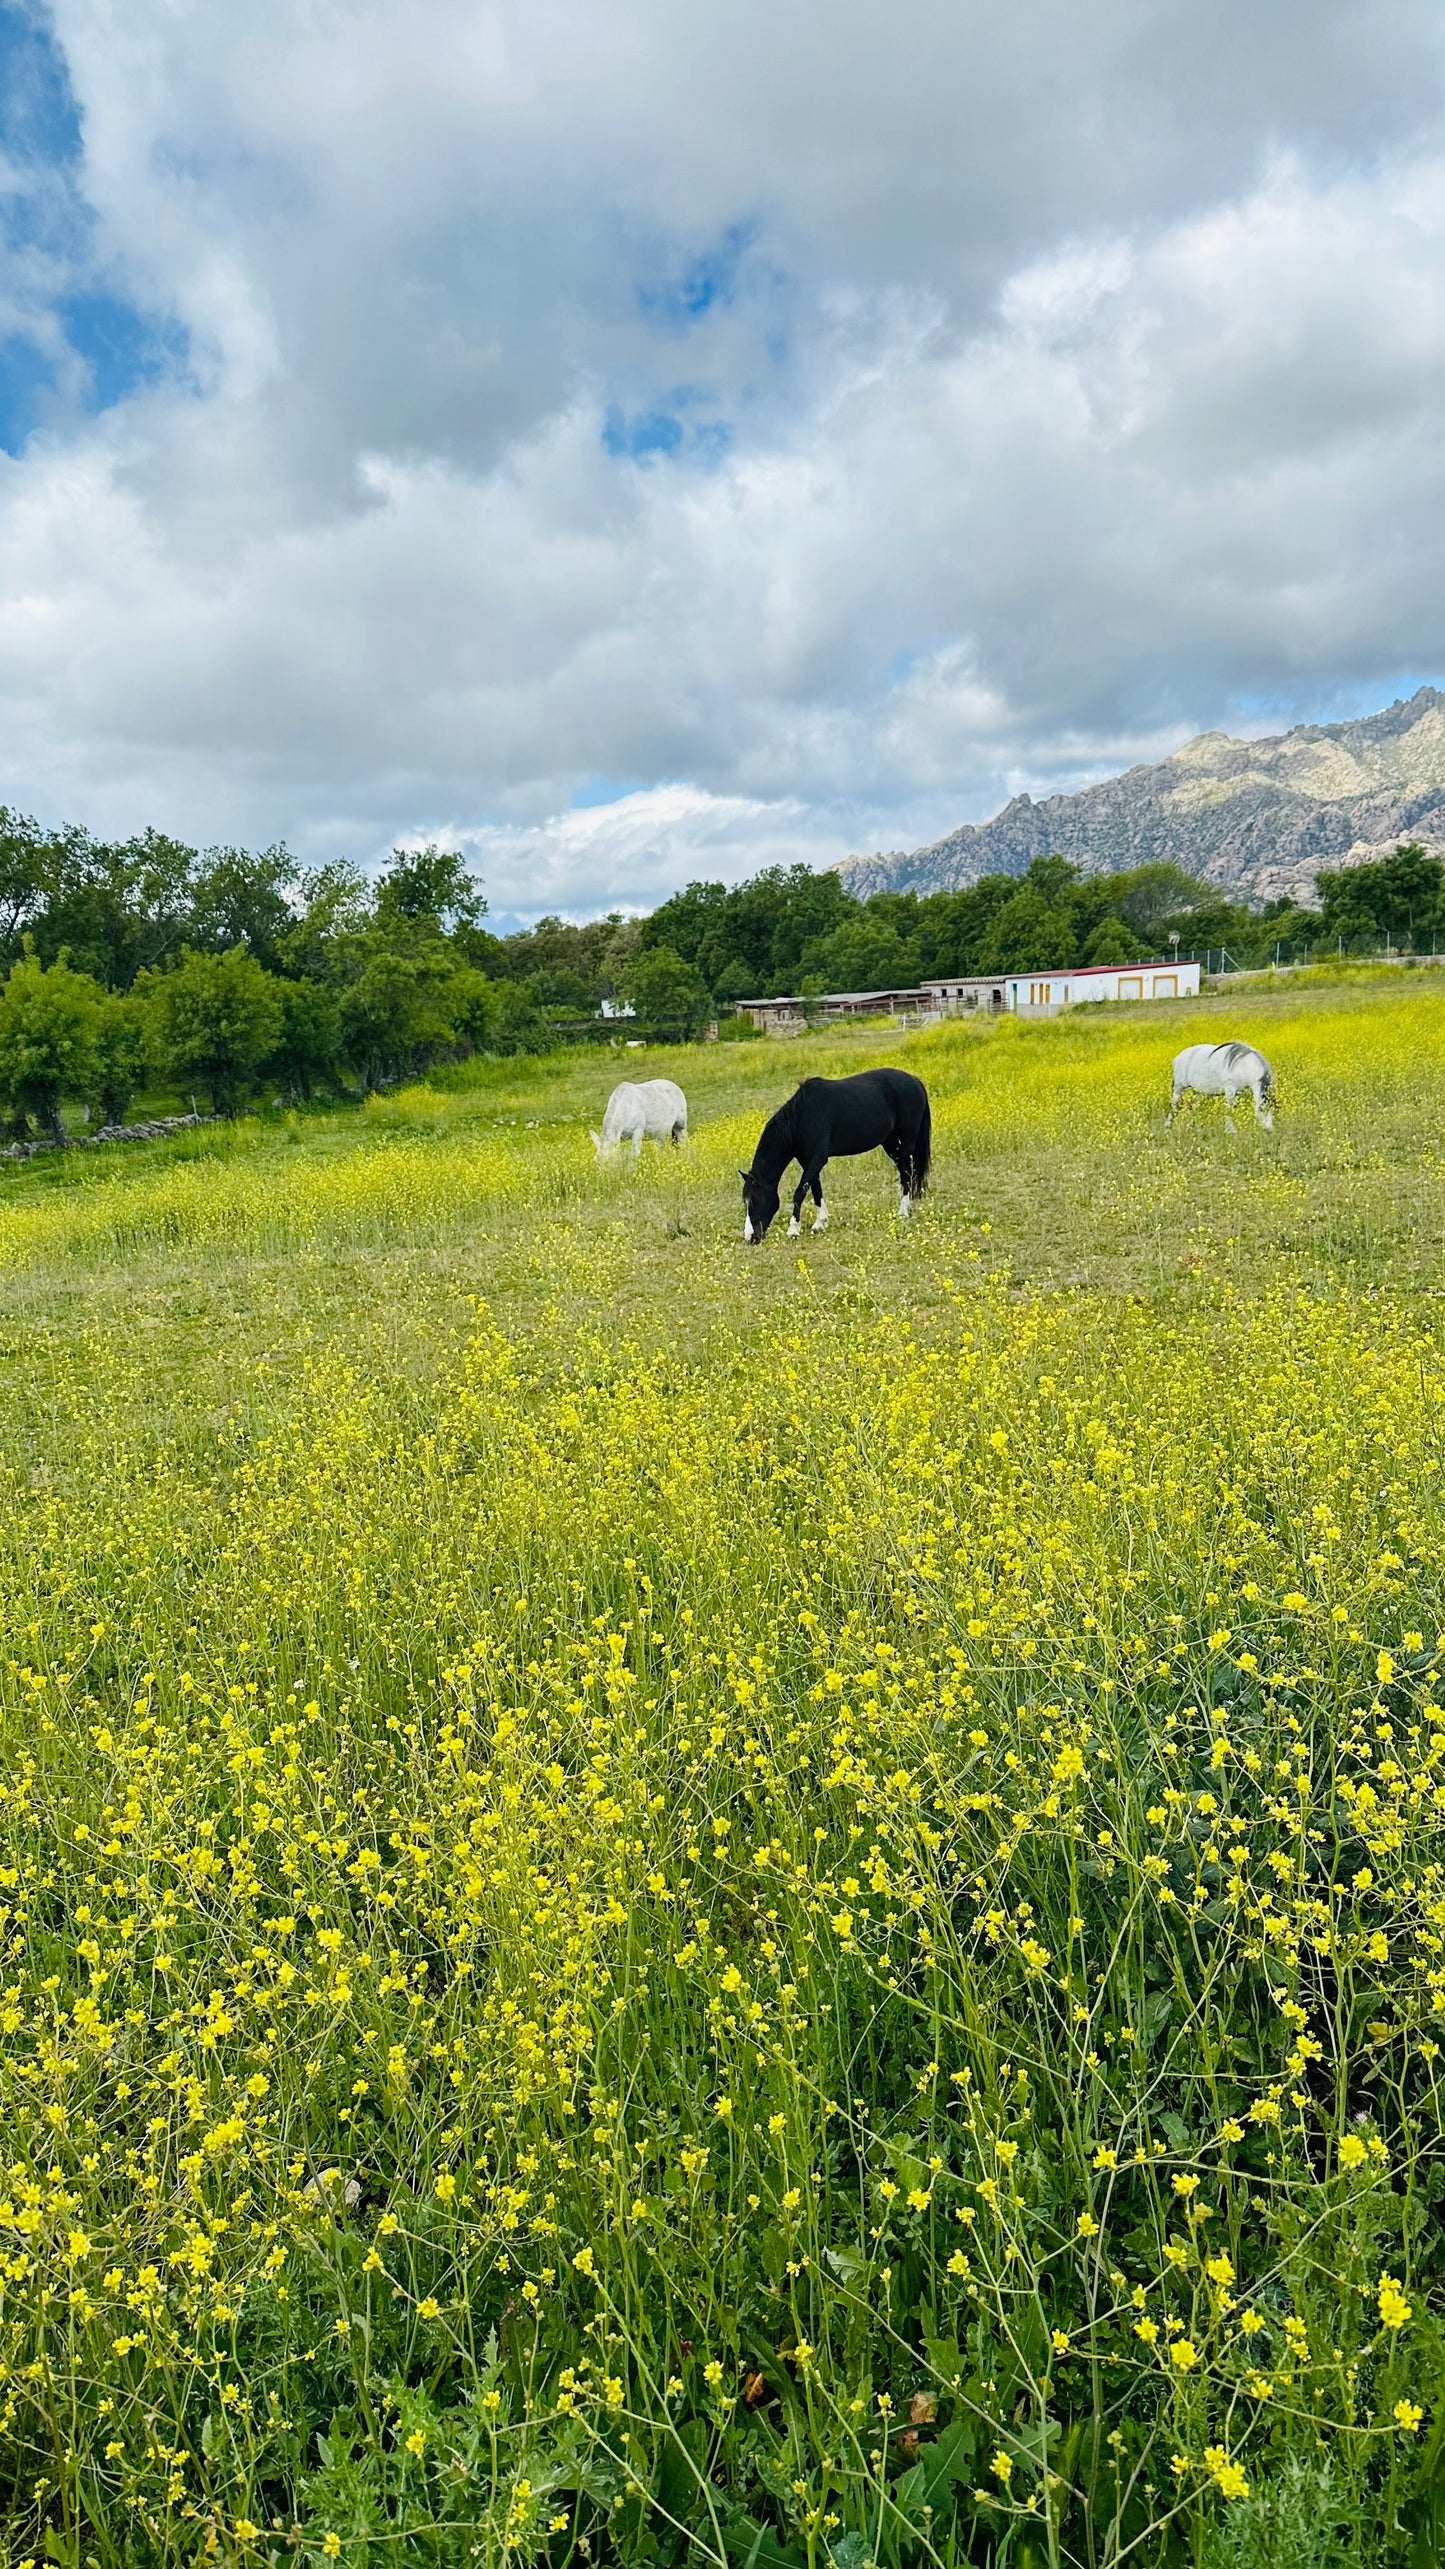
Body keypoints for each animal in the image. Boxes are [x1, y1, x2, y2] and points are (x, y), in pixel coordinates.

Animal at [735, 1063, 925, 1243]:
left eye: (754, 1200)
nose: (750, 1237)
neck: (801, 1117)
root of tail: (915, 1081)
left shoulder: (817, 1159)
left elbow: (800, 1192)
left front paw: (793, 1230)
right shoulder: (807, 1161)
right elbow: (815, 1188)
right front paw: (820, 1223)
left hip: (906, 1142)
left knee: (907, 1172)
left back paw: (903, 1212)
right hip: (891, 1145)